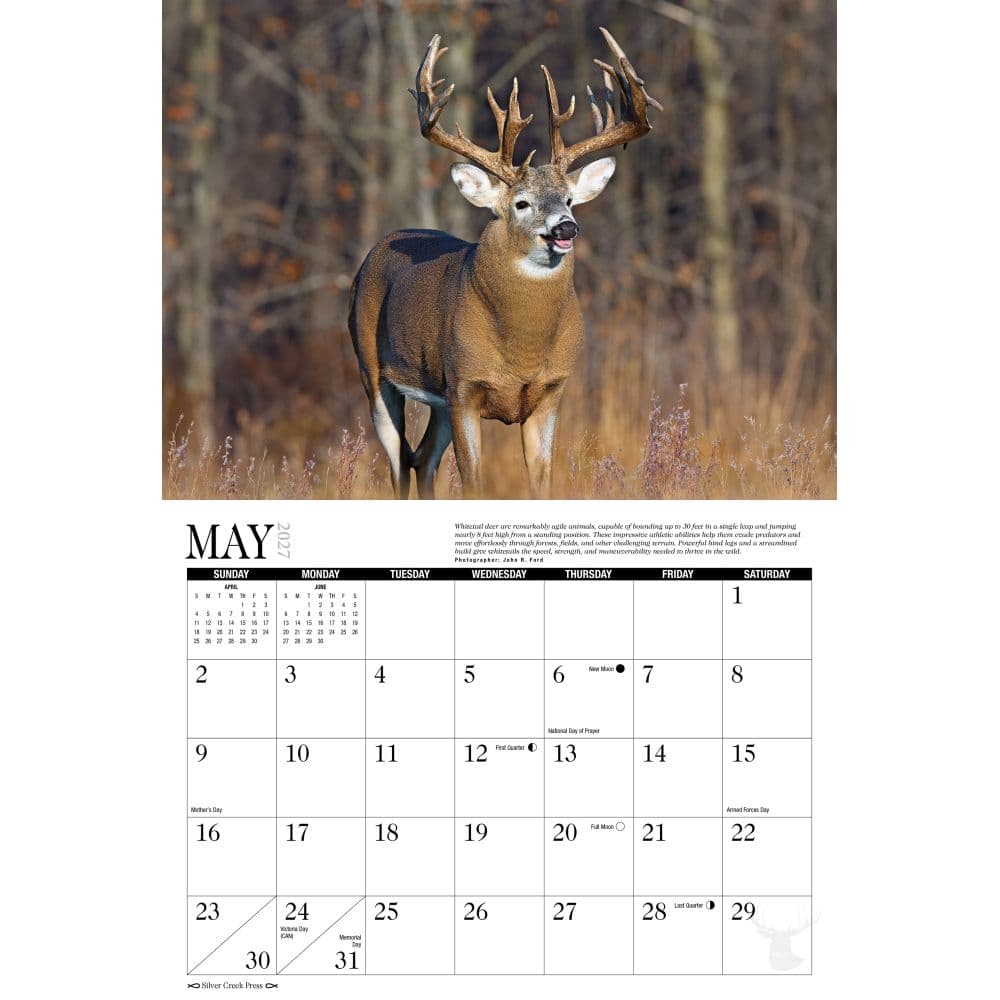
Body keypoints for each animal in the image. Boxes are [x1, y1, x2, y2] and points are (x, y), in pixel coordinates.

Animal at [348, 28, 661, 498]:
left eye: (570, 199)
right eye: (521, 203)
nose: (566, 227)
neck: (522, 351)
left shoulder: (550, 392)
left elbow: (541, 483)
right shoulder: (464, 386)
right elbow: (474, 483)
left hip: (436, 400)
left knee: (422, 459)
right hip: (373, 371)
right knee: (399, 464)